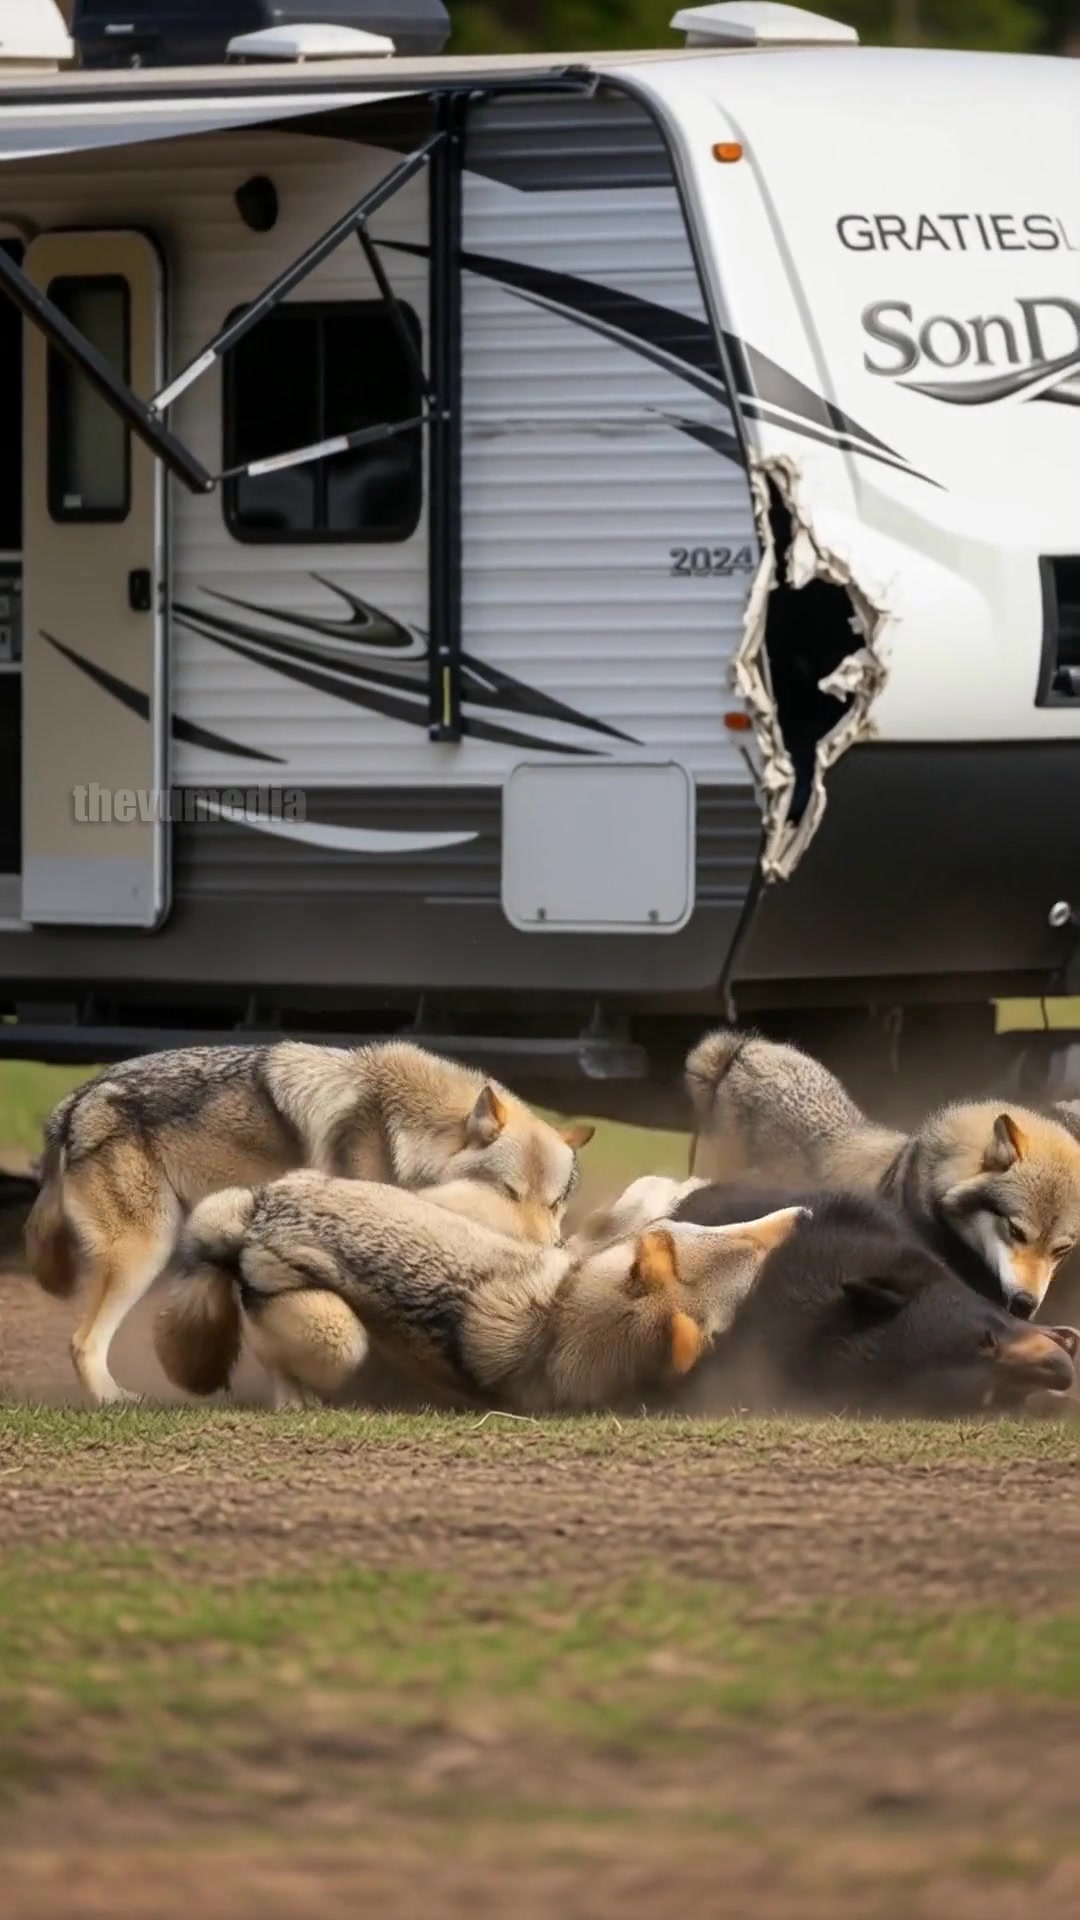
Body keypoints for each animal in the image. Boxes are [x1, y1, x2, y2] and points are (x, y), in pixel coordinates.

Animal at [25, 1040, 593, 1405]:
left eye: (554, 1203)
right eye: (508, 1193)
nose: (549, 1249)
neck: (410, 1130)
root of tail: (73, 1102)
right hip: (144, 1251)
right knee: (83, 1342)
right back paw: (114, 1399)